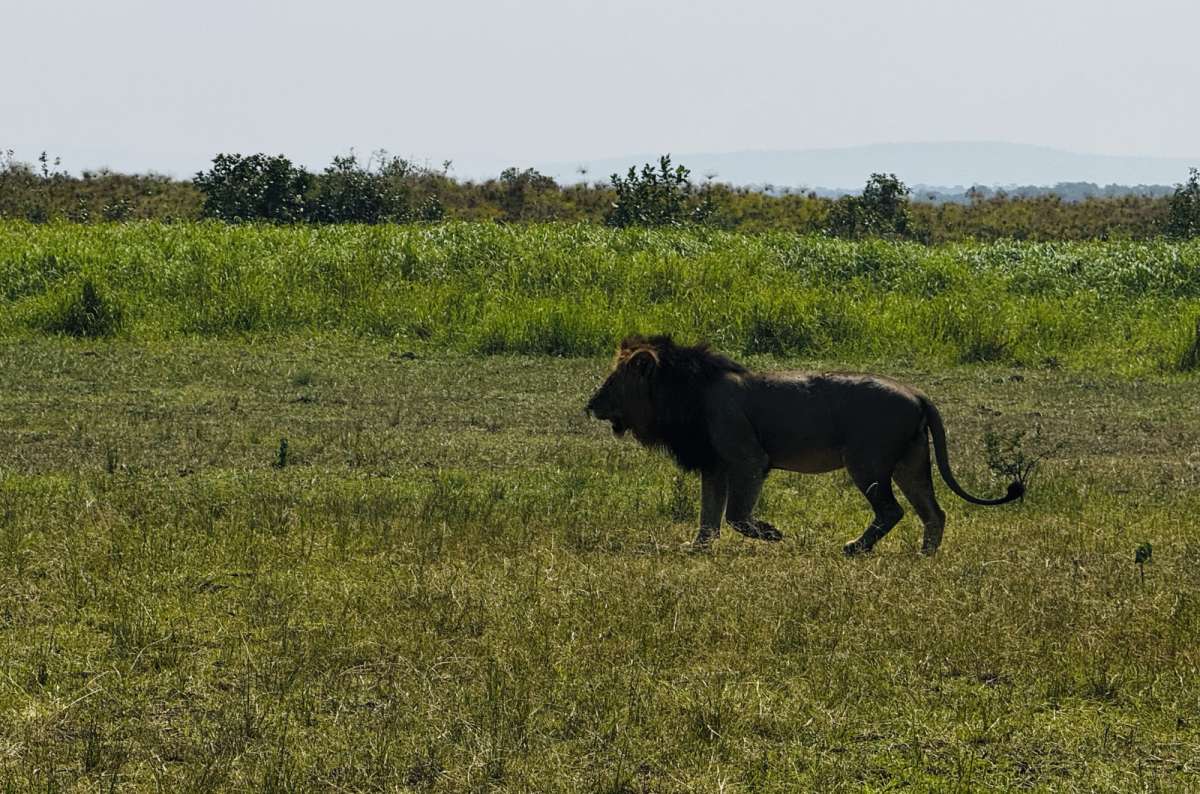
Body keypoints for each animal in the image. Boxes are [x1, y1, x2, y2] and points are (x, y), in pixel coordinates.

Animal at [585, 335, 1023, 555]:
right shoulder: (715, 465)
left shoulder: (748, 459)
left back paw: (854, 548)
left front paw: (772, 534)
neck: (683, 394)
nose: (590, 404)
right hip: (910, 463)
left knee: (892, 511)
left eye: (613, 381)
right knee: (934, 513)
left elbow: (736, 515)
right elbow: (708, 517)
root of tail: (918, 393)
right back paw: (924, 556)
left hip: (866, 461)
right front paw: (695, 549)